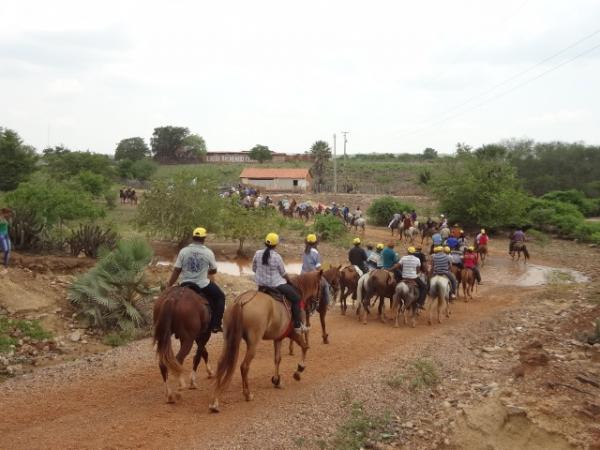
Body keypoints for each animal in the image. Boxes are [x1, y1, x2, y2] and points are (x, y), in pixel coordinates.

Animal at [210, 268, 324, 414]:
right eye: (321, 286)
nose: (317, 304)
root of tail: (241, 301)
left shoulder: (278, 338)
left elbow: (277, 359)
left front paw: (276, 380)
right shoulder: (293, 334)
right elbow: (305, 347)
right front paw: (299, 370)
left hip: (228, 339)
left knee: (221, 364)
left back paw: (215, 401)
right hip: (253, 342)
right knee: (244, 366)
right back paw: (247, 394)